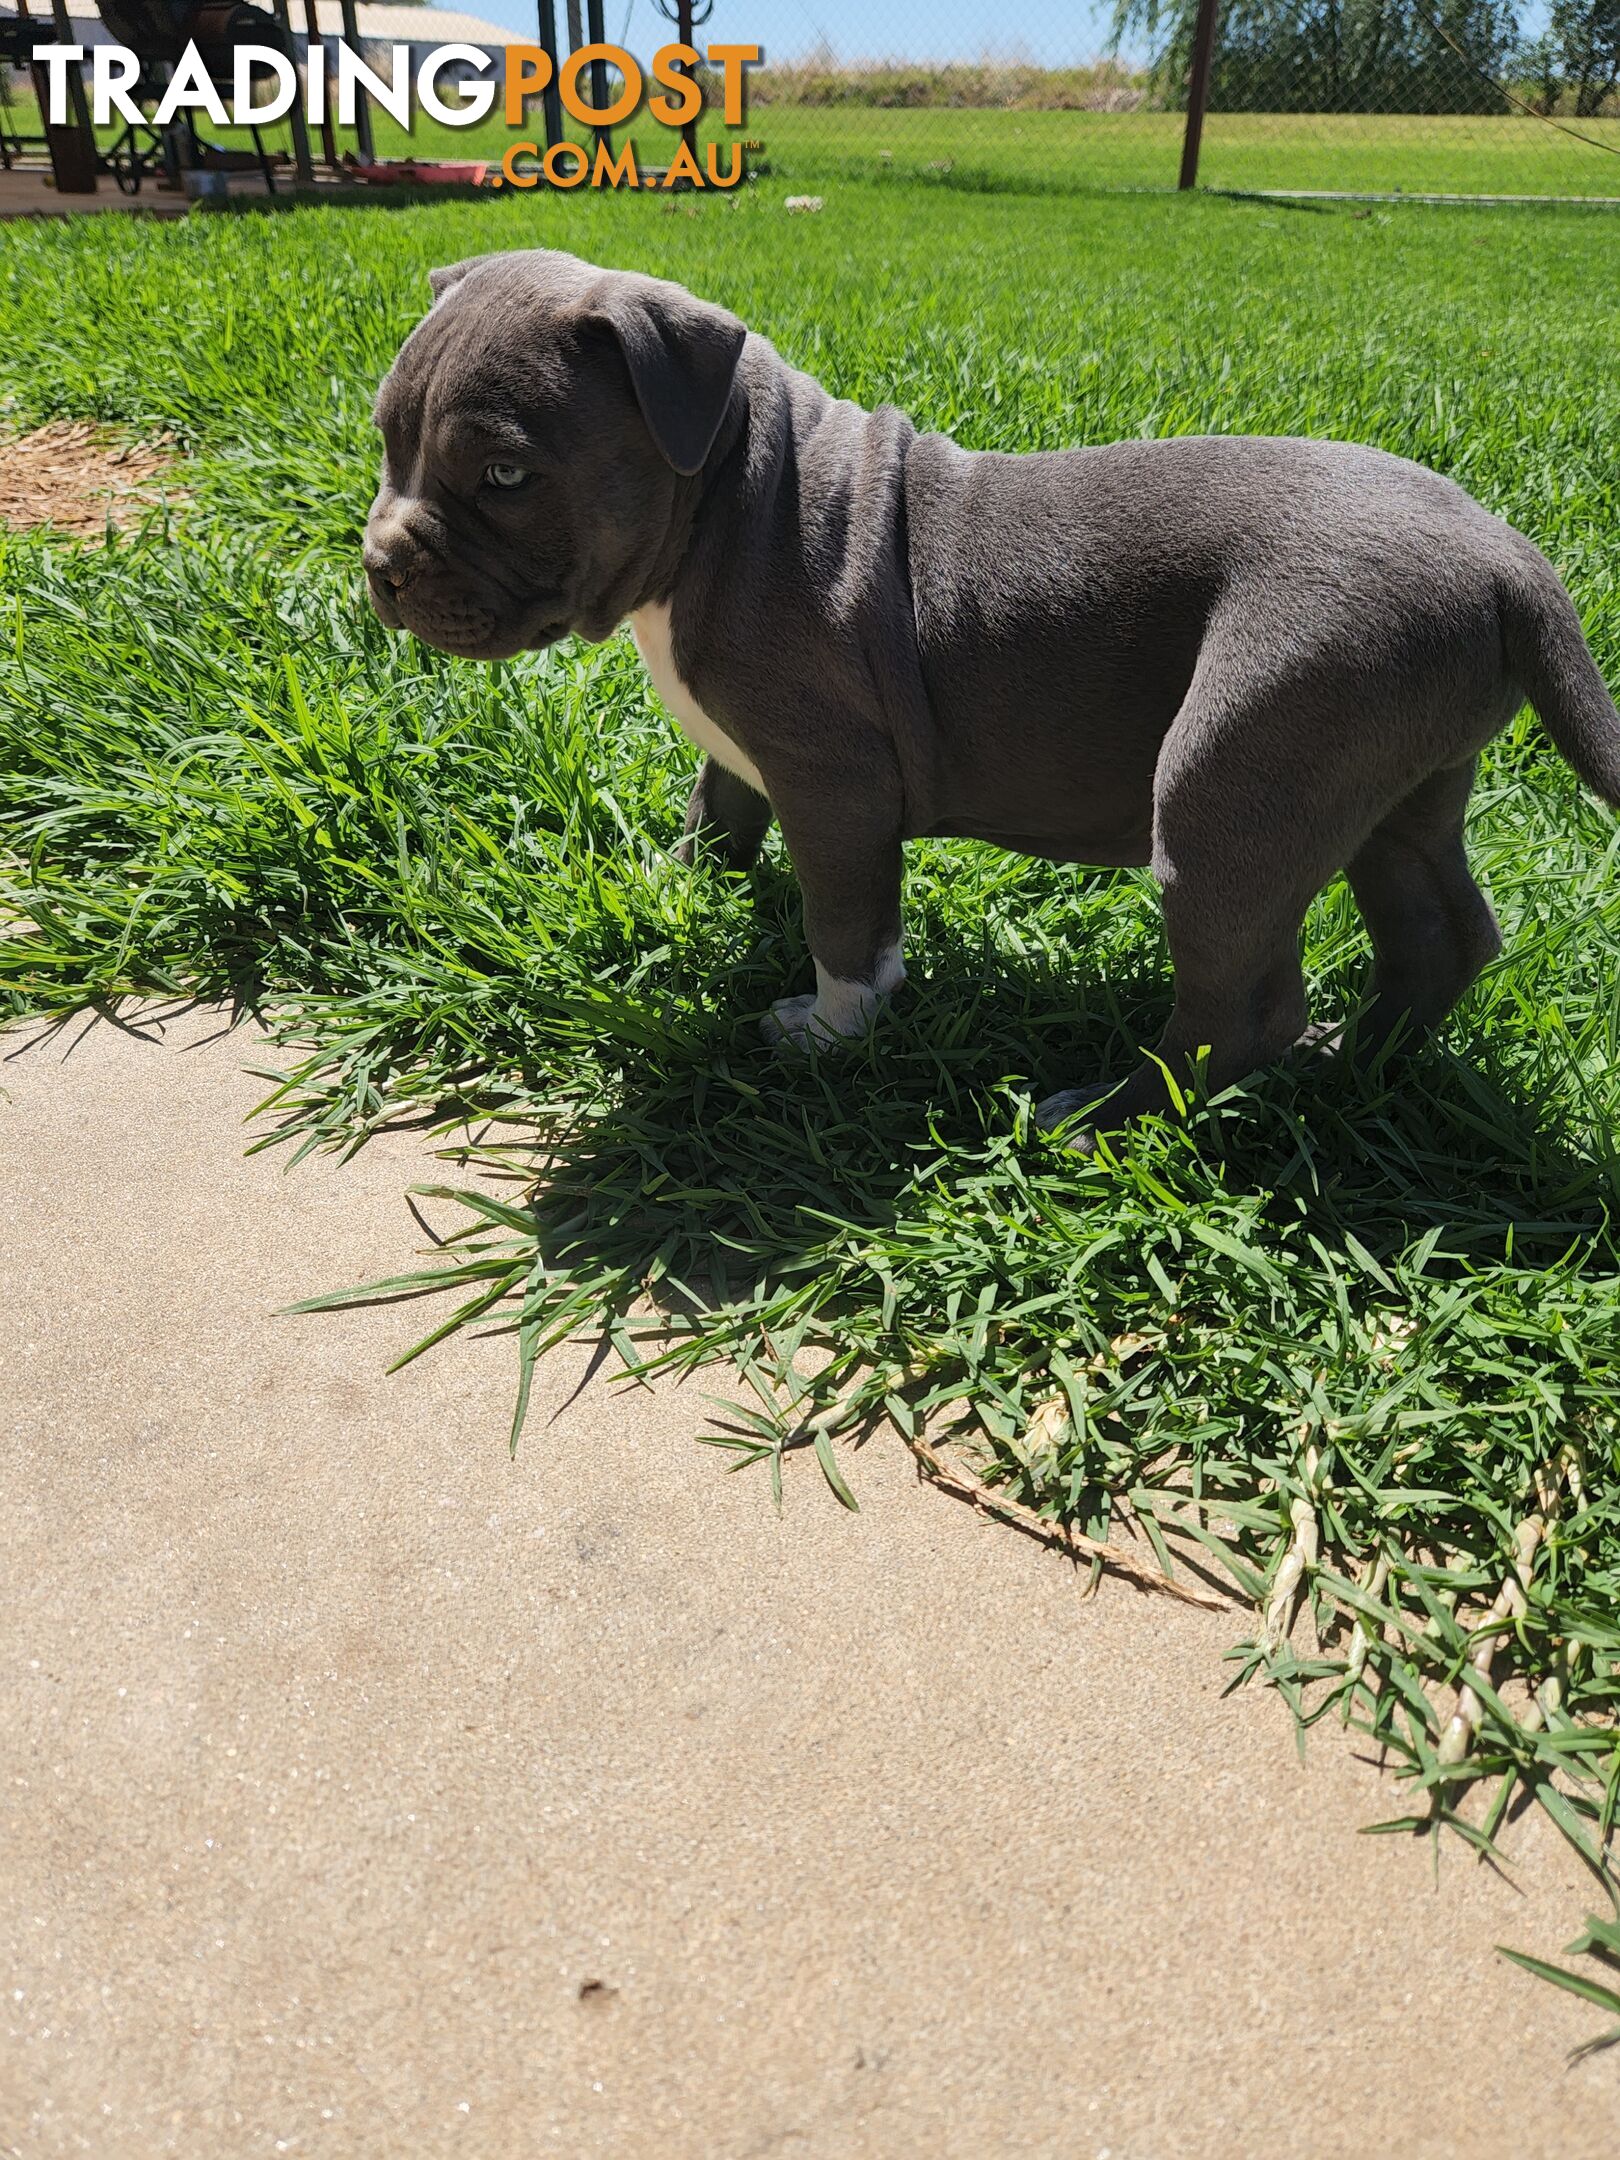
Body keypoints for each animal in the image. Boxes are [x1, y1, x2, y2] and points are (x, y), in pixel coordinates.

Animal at [367, 247, 1620, 1140]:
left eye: (507, 476)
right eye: (384, 441)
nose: (380, 564)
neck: (727, 493)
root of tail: (1509, 558)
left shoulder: (834, 781)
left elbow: (844, 923)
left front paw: (830, 1033)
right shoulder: (746, 751)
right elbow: (717, 811)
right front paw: (669, 891)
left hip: (1238, 775)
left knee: (1241, 1007)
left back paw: (1109, 1119)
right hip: (1391, 777)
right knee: (1440, 935)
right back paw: (1359, 1067)